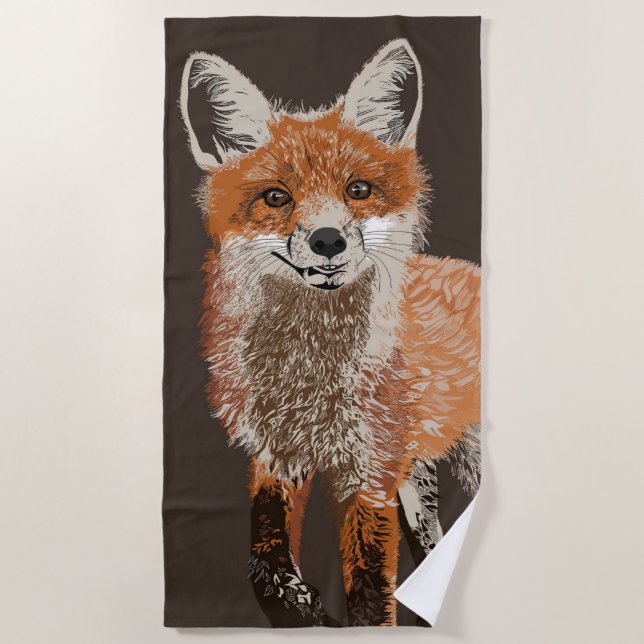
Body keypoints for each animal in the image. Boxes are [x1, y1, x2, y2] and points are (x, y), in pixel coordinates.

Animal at [179, 39, 480, 627]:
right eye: (276, 197)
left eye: (358, 190)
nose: (327, 240)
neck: (309, 372)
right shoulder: (276, 451)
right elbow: (263, 558)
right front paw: (301, 606)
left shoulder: (371, 471)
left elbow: (369, 590)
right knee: (432, 538)